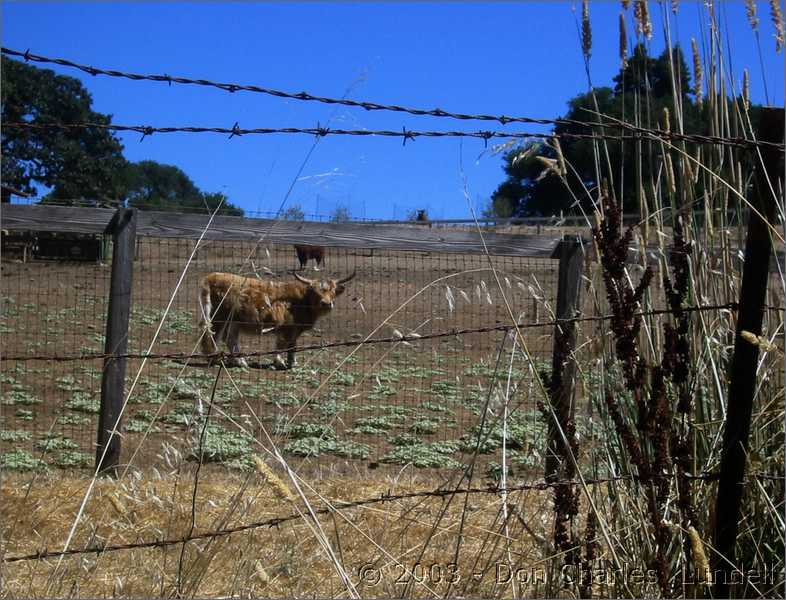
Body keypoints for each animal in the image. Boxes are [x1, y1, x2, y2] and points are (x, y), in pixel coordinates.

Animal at [198, 270, 354, 366]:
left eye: (333, 291)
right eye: (315, 292)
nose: (326, 303)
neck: (302, 301)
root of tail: (212, 276)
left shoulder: (294, 330)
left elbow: (292, 346)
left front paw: (292, 363)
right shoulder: (286, 328)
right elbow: (281, 345)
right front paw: (279, 362)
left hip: (234, 321)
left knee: (230, 339)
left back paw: (240, 362)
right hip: (218, 316)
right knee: (212, 336)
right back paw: (214, 358)